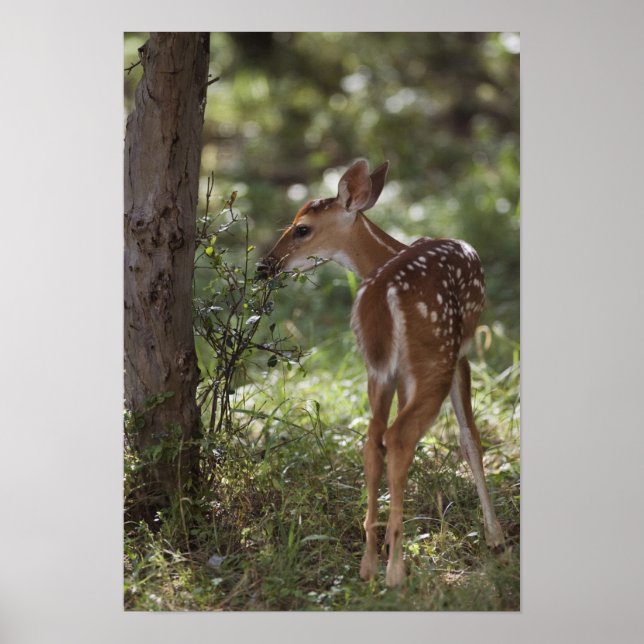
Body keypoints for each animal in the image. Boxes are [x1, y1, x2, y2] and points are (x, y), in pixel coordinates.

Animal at [258, 159, 505, 587]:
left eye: (301, 228)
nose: (264, 266)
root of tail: (384, 291)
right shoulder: (461, 353)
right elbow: (470, 438)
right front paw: (495, 538)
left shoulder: (396, 367)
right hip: (435, 354)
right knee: (400, 436)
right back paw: (395, 571)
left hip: (378, 367)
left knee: (375, 440)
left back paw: (370, 563)